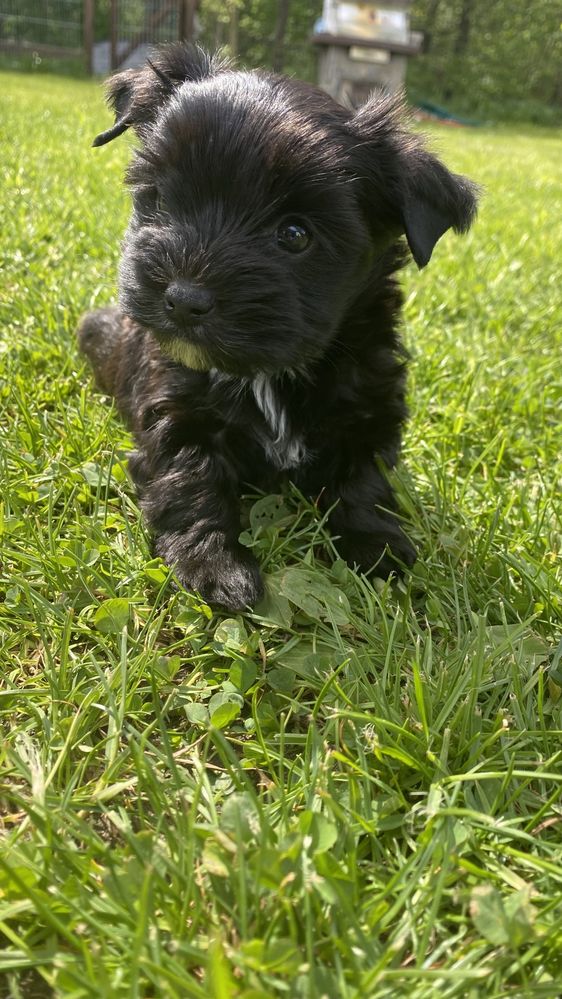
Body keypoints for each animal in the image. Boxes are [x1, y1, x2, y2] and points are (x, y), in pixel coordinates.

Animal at [76, 45, 474, 608]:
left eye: (294, 235)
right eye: (163, 198)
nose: (184, 299)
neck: (267, 373)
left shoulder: (370, 404)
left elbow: (365, 481)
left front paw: (377, 546)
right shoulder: (174, 407)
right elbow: (187, 479)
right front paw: (213, 565)